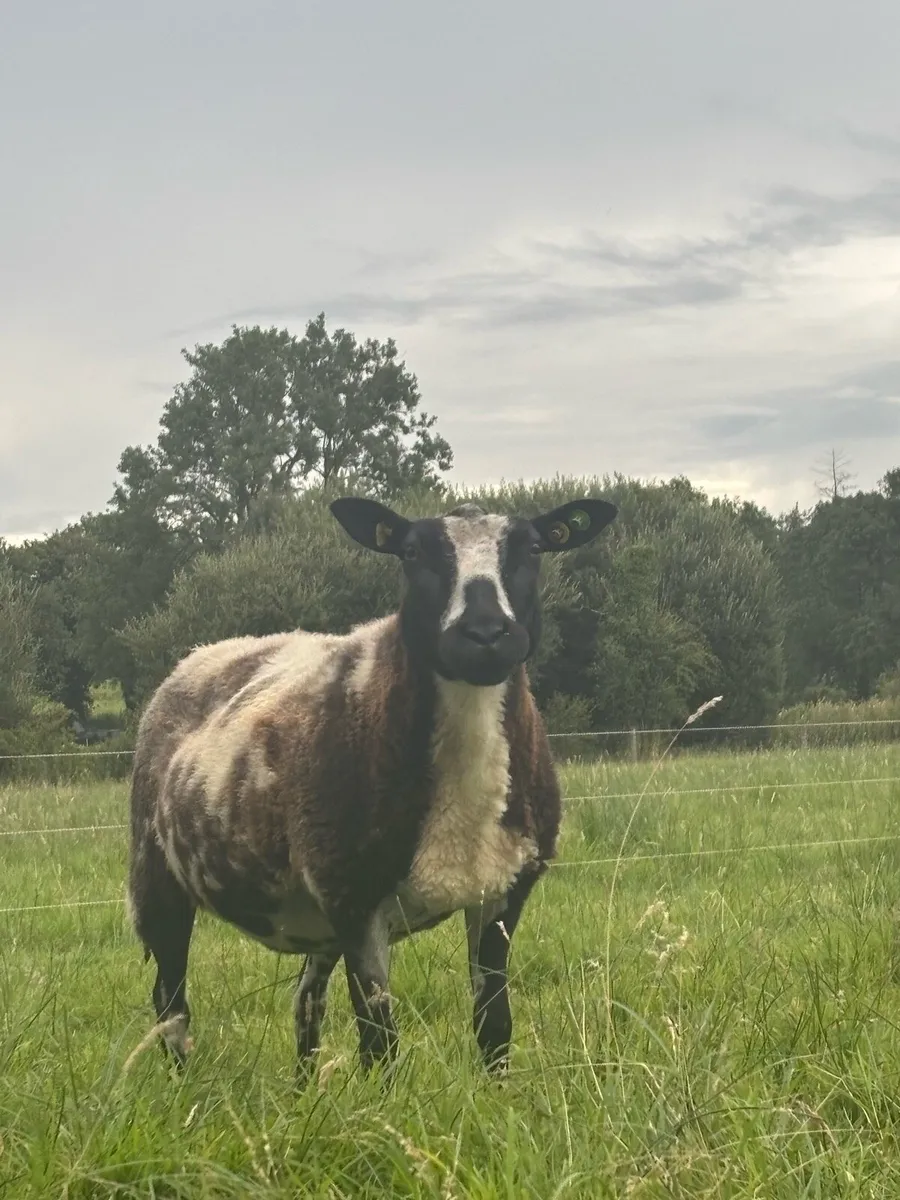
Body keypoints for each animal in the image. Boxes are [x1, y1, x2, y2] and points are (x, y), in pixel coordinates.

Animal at [127, 493, 618, 1078]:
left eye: (536, 548)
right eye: (410, 552)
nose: (485, 633)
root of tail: (197, 655)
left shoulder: (502, 891)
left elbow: (494, 1028)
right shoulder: (356, 899)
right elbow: (380, 1043)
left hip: (318, 913)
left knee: (305, 1002)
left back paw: (304, 1091)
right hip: (158, 872)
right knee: (169, 1001)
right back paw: (183, 1084)